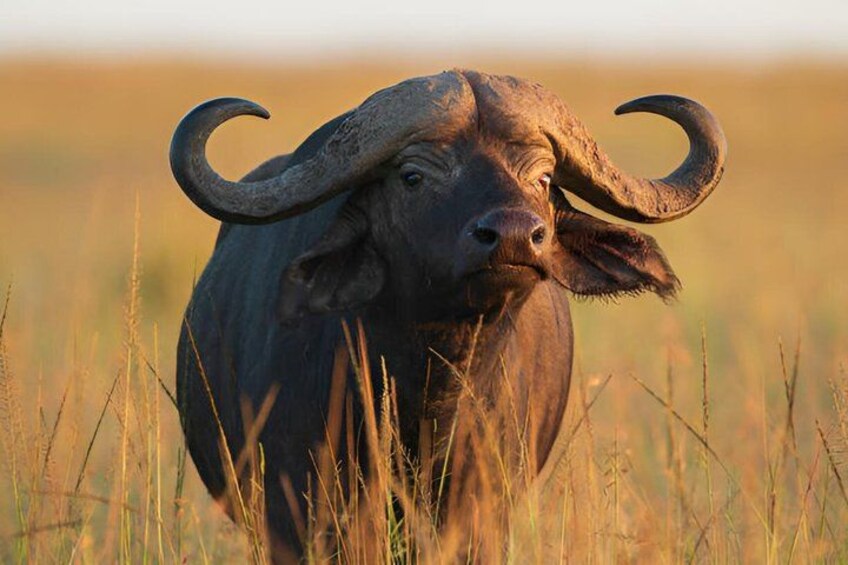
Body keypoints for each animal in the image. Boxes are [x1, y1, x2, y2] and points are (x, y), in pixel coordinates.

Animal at [170, 69, 726, 559]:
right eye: (412, 176)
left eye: (544, 177)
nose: (515, 235)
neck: (431, 392)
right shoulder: (303, 514)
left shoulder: (480, 513)